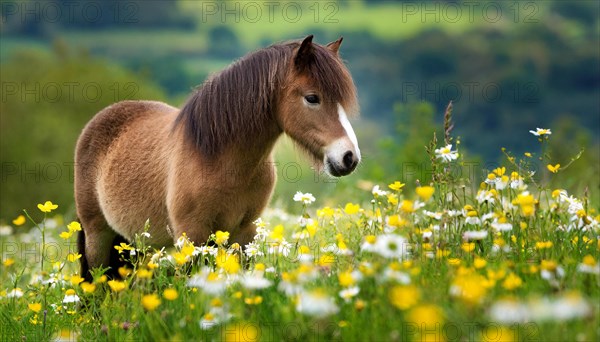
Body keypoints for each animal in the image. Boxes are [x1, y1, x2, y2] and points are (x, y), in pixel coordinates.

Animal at [72, 36, 358, 280]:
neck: (221, 160)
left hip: (136, 246)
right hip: (98, 235)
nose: (349, 157)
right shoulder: (193, 234)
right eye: (312, 98)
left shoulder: (244, 234)